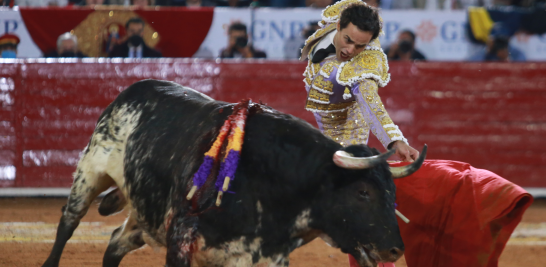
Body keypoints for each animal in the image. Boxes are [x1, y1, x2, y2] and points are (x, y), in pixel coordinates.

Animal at [42, 79, 424, 267]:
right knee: (67, 224)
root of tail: (132, 90)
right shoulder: (181, 240)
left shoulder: (263, 258)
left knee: (113, 245)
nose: (395, 250)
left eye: (393, 195)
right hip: (89, 174)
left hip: (146, 217)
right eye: (363, 192)